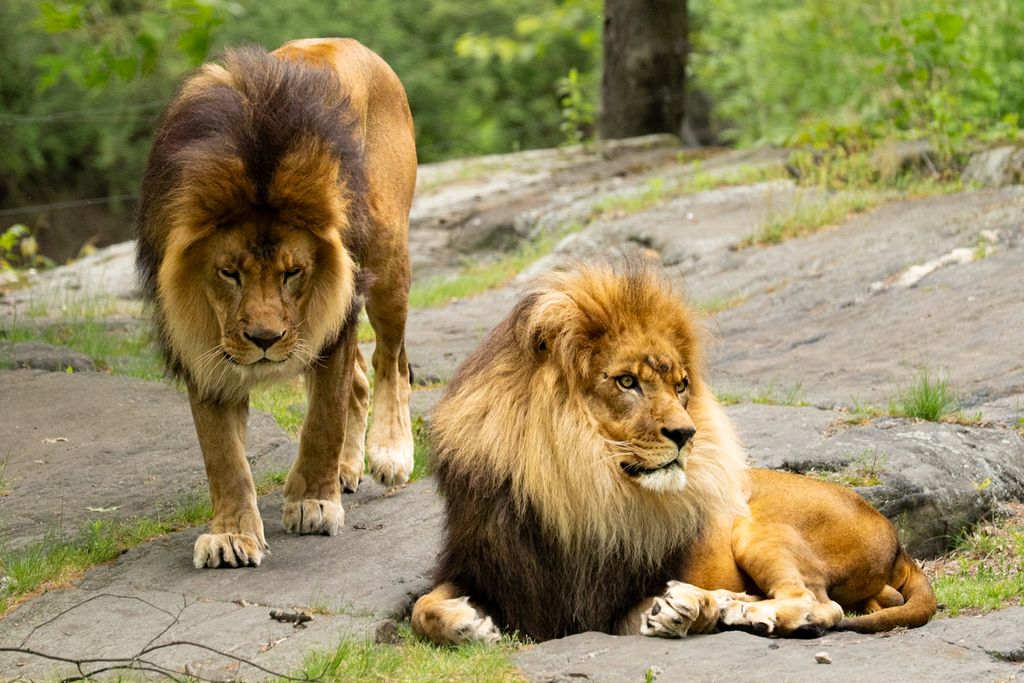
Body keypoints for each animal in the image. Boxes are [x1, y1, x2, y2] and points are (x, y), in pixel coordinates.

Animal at [135, 39, 417, 568]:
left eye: (292, 272)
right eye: (229, 272)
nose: (264, 340)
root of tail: (355, 44)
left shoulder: (334, 317)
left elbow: (322, 419)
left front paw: (313, 503)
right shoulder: (202, 343)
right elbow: (223, 454)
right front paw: (231, 535)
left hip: (388, 259)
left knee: (391, 362)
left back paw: (390, 453)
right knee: (361, 380)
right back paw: (347, 467)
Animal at [411, 258, 935, 644]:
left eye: (681, 385)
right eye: (627, 382)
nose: (687, 433)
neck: (575, 489)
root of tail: (895, 538)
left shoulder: (607, 604)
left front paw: (691, 609)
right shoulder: (490, 568)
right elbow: (421, 608)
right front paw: (467, 623)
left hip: (758, 528)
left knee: (821, 604)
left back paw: (741, 610)